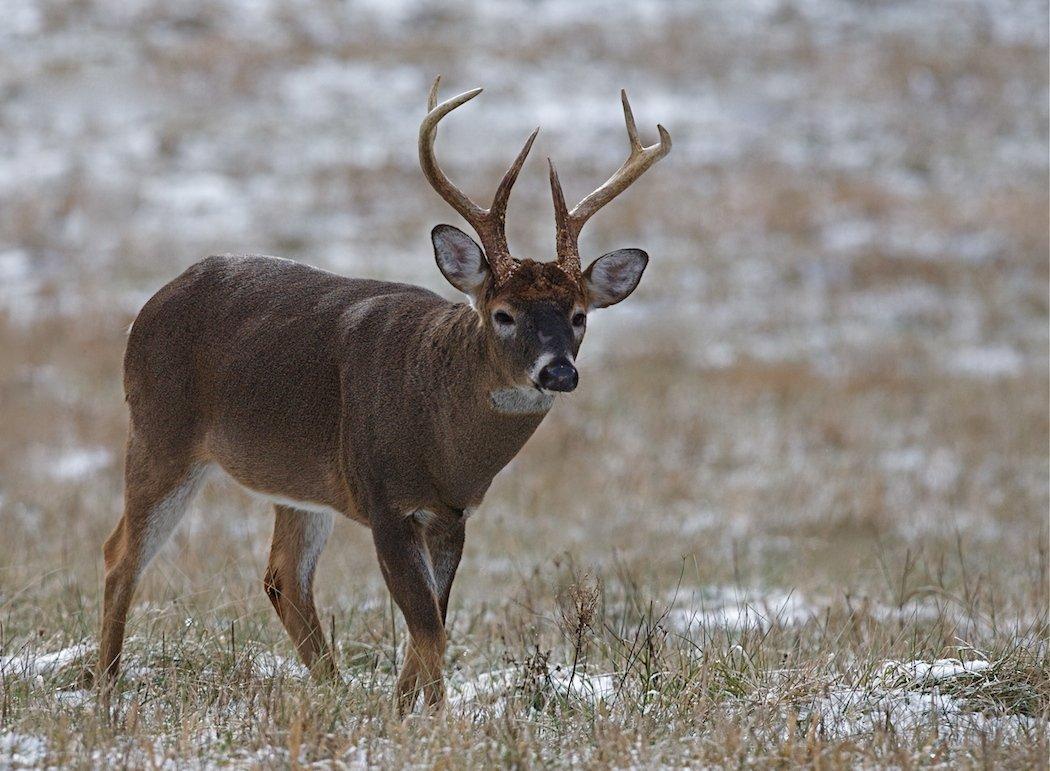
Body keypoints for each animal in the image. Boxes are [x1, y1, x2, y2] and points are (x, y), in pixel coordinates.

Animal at [98, 75, 672, 714]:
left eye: (578, 315)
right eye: (503, 313)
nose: (558, 372)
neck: (444, 436)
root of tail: (146, 310)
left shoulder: (452, 514)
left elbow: (433, 624)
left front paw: (402, 711)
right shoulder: (384, 498)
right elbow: (429, 628)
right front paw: (431, 717)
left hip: (297, 482)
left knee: (283, 577)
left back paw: (333, 691)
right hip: (159, 431)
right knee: (120, 555)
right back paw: (105, 690)